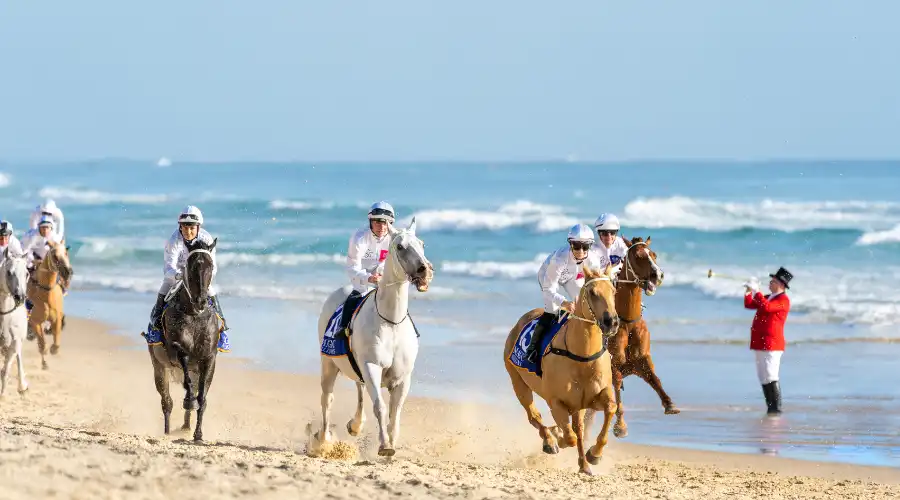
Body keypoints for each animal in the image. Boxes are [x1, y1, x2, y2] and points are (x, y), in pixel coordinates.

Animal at [26, 241, 73, 370]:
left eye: (66, 252)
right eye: (55, 256)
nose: (68, 272)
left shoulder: (56, 319)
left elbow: (56, 341)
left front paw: (53, 350)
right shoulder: (35, 321)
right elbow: (42, 344)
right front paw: (45, 359)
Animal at [147, 237, 220, 442]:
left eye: (211, 265)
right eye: (191, 265)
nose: (201, 301)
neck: (194, 314)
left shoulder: (208, 359)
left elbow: (202, 397)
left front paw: (198, 434)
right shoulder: (176, 350)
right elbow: (186, 375)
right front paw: (188, 401)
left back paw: (186, 426)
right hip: (159, 367)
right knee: (167, 402)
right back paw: (166, 432)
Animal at [313, 217, 433, 457]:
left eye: (422, 244)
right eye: (400, 247)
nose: (424, 270)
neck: (390, 322)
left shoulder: (403, 378)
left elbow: (395, 413)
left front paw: (391, 442)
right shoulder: (371, 367)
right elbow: (380, 406)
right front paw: (385, 446)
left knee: (359, 389)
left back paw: (355, 424)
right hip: (328, 364)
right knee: (327, 399)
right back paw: (323, 442)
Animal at [503, 264, 620, 475]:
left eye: (613, 291)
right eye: (592, 292)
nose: (612, 322)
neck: (582, 357)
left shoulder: (592, 398)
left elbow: (609, 409)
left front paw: (594, 455)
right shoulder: (556, 402)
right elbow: (570, 436)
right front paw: (556, 437)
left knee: (577, 428)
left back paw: (583, 464)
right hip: (517, 381)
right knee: (534, 416)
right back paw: (550, 441)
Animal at [605, 236, 677, 439]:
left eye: (654, 254)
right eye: (638, 256)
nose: (658, 275)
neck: (627, 322)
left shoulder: (641, 361)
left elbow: (655, 378)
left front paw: (670, 404)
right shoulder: (614, 364)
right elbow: (617, 390)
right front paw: (620, 426)